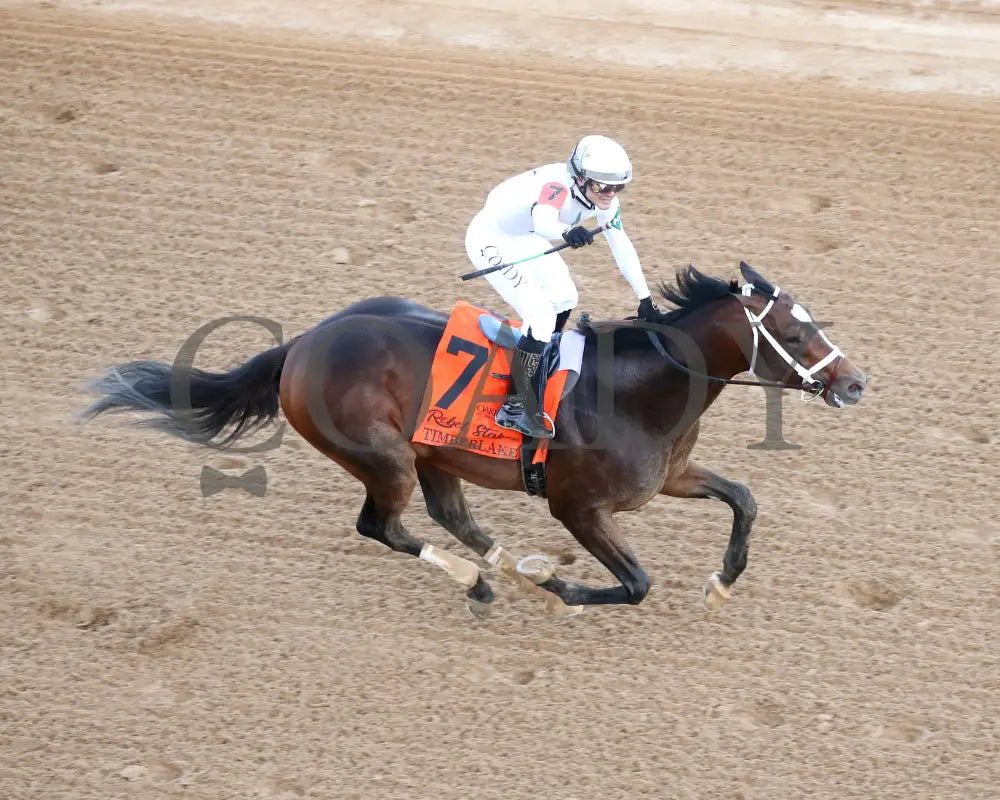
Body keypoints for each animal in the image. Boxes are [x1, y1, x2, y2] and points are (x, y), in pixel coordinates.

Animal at [80, 262, 868, 620]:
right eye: (794, 333)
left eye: (814, 322)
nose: (855, 383)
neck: (640, 387)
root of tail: (301, 344)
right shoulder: (578, 508)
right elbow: (637, 583)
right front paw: (564, 589)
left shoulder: (669, 476)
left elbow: (745, 497)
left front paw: (723, 579)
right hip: (384, 458)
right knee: (382, 526)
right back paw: (481, 578)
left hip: (433, 456)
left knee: (448, 516)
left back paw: (506, 567)